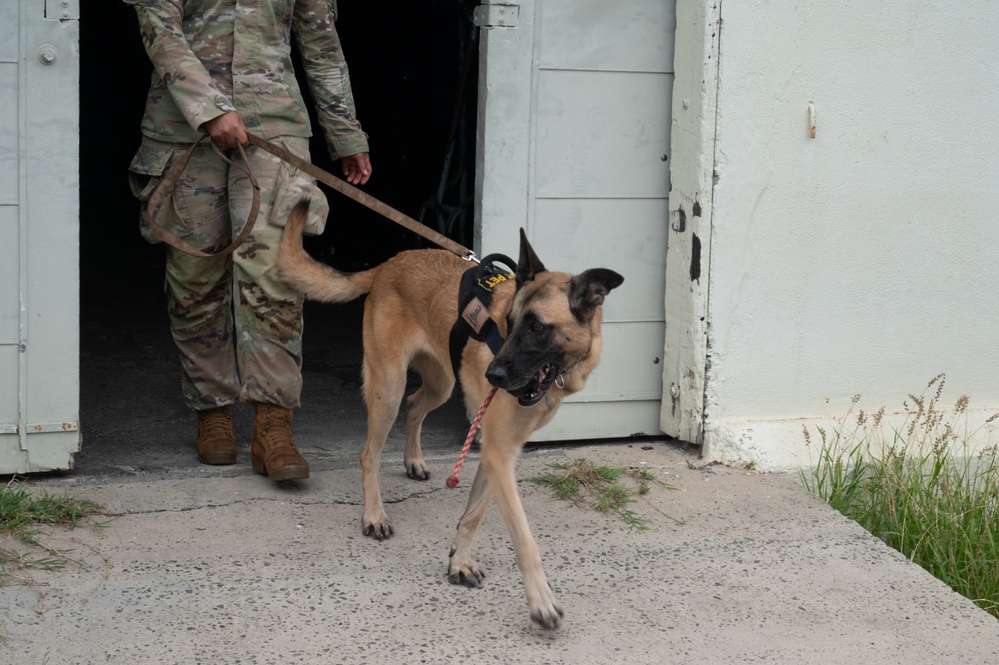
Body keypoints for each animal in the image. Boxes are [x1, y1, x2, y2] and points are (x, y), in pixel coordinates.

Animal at [278, 200, 624, 624]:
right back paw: (374, 514)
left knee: (415, 406)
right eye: (508, 323)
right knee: (369, 453)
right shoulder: (498, 453)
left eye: (537, 327)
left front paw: (459, 561)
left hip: (442, 384)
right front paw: (540, 599)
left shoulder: (497, 454)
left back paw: (413, 460)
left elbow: (473, 514)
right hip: (388, 387)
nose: (493, 375)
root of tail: (392, 262)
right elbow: (523, 537)